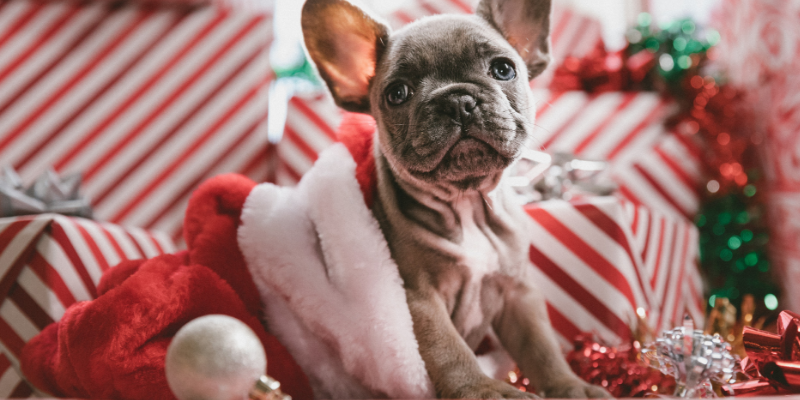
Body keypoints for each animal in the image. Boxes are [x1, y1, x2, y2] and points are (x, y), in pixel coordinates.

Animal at [302, 1, 612, 398]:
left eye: (503, 69)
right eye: (397, 93)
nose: (456, 100)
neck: (468, 204)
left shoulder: (518, 292)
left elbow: (542, 348)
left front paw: (571, 387)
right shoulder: (419, 299)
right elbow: (448, 350)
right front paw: (484, 390)